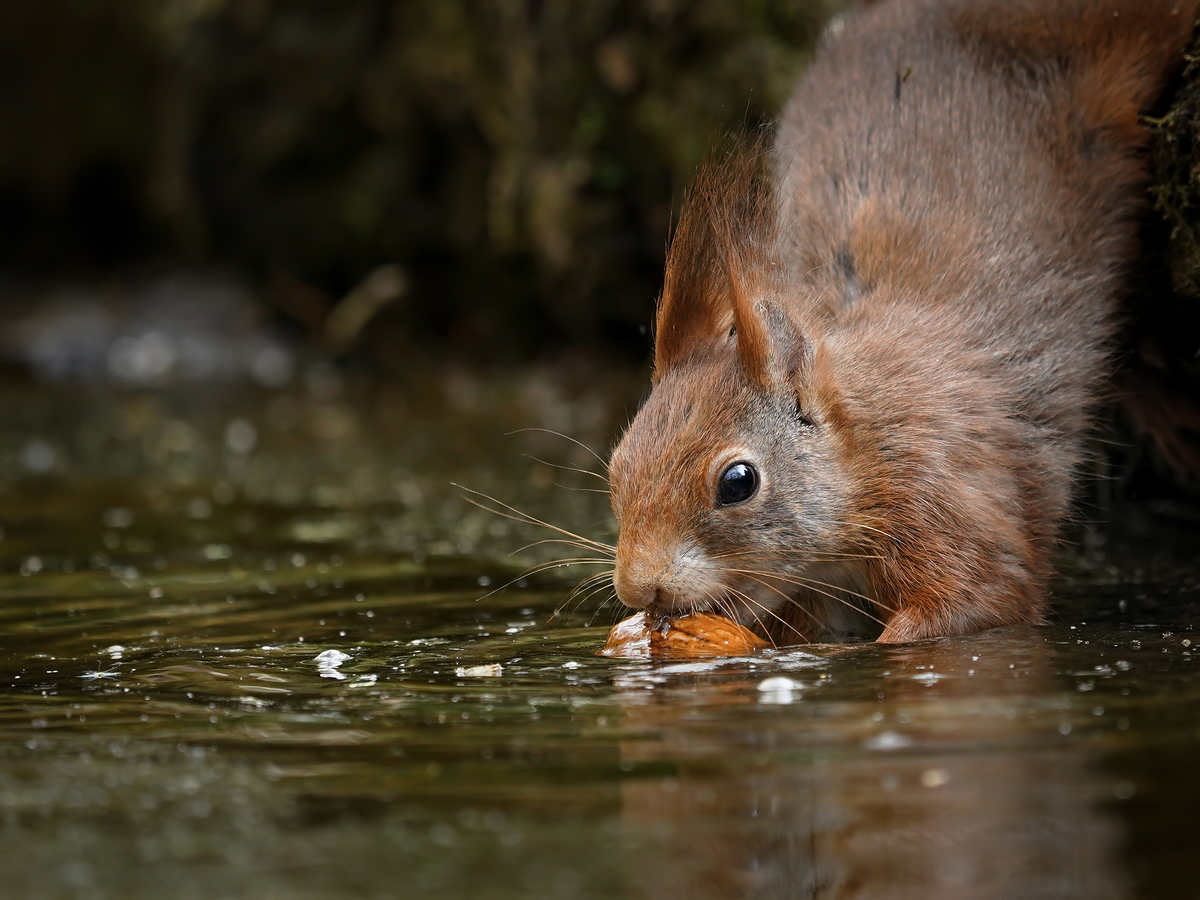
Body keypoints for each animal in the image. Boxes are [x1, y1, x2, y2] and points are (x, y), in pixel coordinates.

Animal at [609, 1, 1200, 648]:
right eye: (617, 466)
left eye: (738, 482)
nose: (640, 589)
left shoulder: (942, 495)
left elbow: (982, 596)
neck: (862, 452)